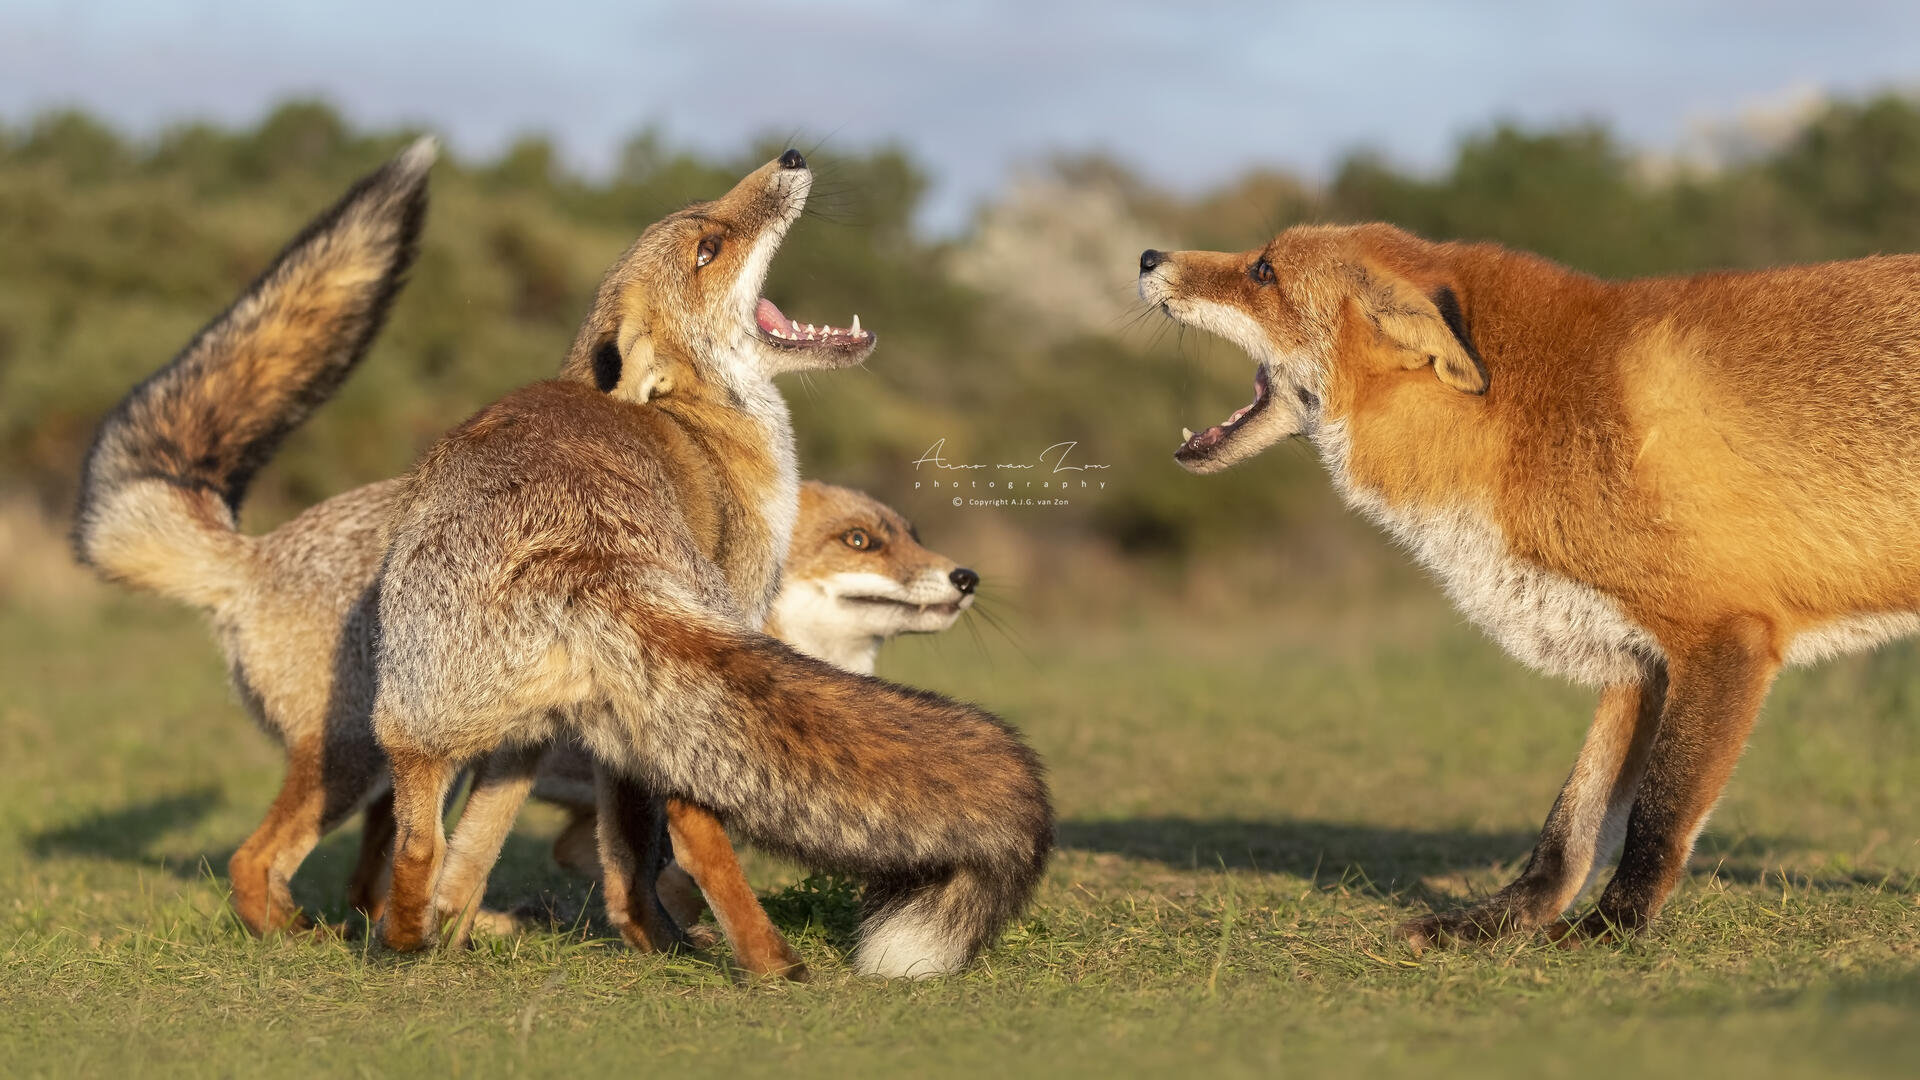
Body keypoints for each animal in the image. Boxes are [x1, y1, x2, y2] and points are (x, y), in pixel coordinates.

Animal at [368, 145, 1052, 976]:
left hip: (442, 724)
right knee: (695, 834)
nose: (790, 155)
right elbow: (642, 851)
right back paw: (769, 963)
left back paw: (418, 938)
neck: (702, 428)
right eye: (708, 249)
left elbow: (501, 849)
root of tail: (579, 555)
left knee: (424, 843)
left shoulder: (539, 737)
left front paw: (465, 926)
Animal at [1136, 224, 1920, 941]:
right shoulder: (1638, 662)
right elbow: (1569, 828)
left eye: (1262, 270)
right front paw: (1500, 922)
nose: (1147, 257)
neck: (1523, 413)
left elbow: (1658, 816)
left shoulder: (1725, 638)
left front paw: (1610, 931)